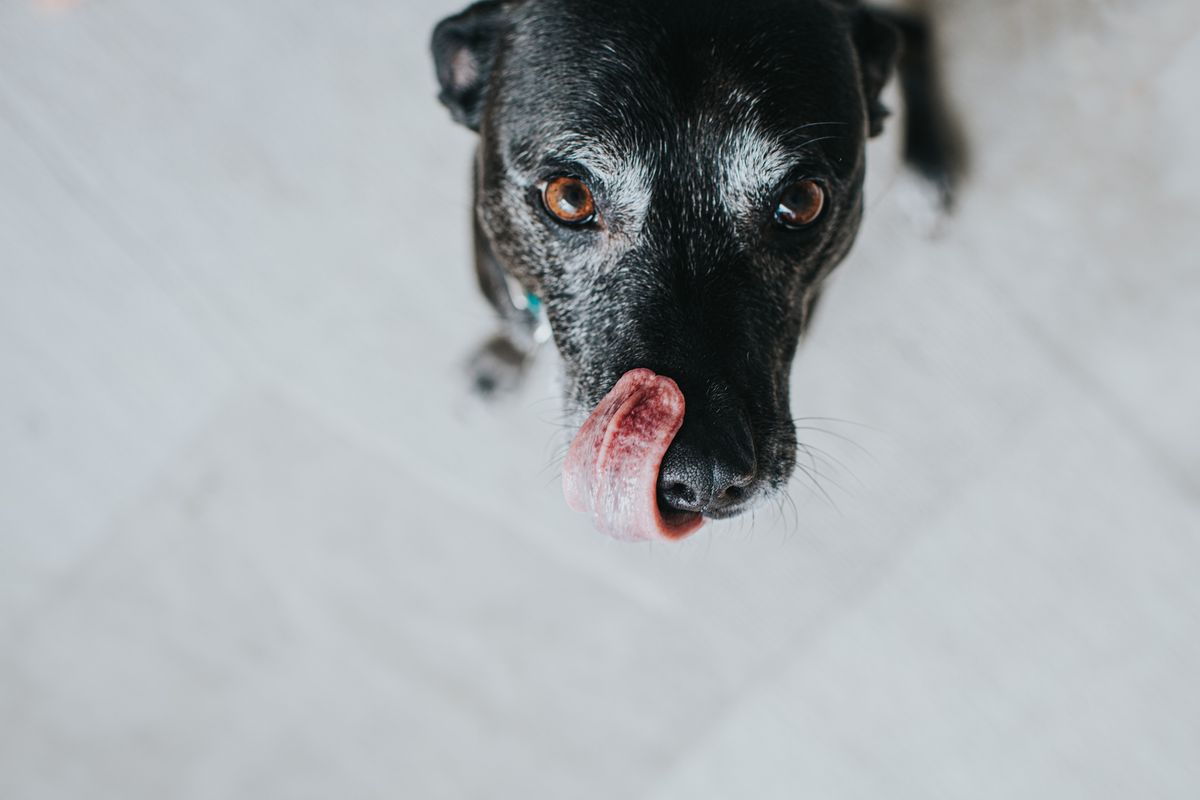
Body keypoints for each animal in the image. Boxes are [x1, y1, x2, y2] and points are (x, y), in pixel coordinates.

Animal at [427, 0, 960, 542]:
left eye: (801, 202)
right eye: (570, 197)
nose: (705, 477)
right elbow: (514, 326)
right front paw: (499, 362)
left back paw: (926, 167)